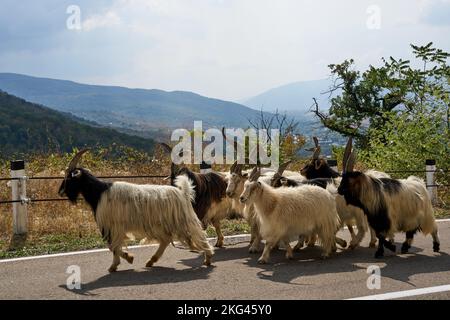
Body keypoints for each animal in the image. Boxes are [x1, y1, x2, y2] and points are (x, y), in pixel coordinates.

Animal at [59, 150, 214, 272]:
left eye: (69, 178)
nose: (60, 192)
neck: (99, 192)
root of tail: (183, 192)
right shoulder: (115, 227)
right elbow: (113, 246)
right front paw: (125, 259)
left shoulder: (111, 226)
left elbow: (113, 246)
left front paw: (119, 262)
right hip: (160, 224)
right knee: (165, 240)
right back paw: (151, 261)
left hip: (183, 220)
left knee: (198, 236)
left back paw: (208, 258)